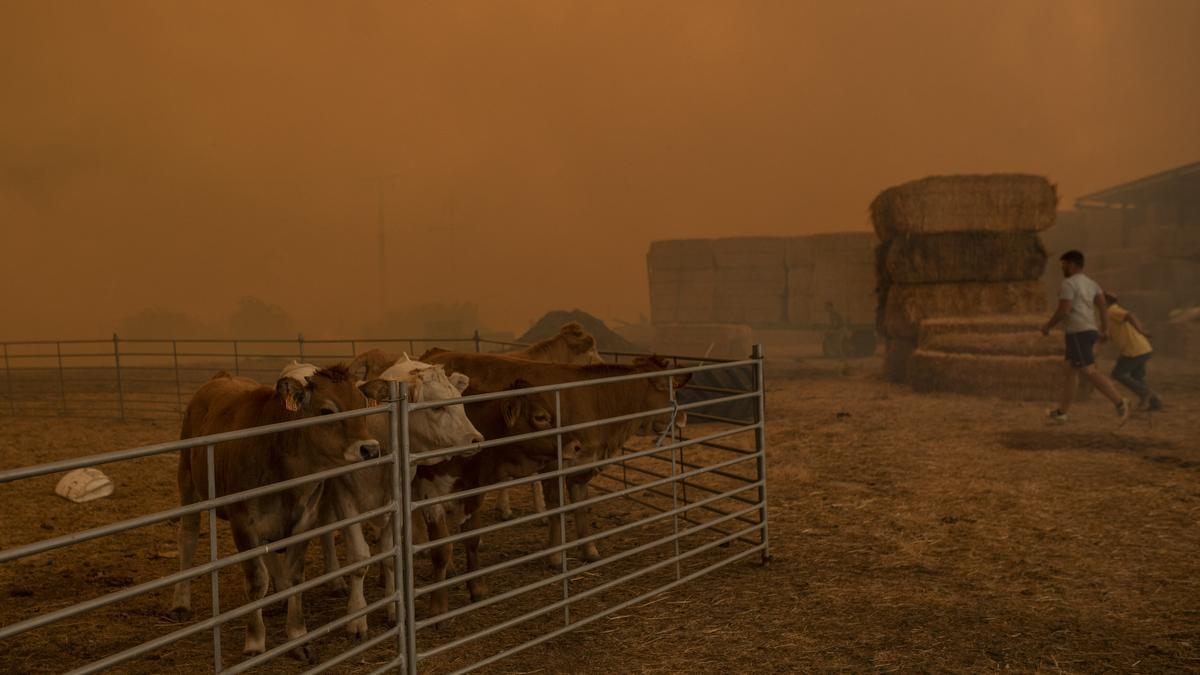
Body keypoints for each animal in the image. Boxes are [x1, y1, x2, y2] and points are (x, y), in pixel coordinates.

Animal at [174, 365, 386, 658]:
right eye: (326, 410)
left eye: (362, 405)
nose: (370, 448)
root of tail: (220, 378)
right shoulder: (244, 525)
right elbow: (256, 581)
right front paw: (254, 641)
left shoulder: (303, 521)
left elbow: (296, 576)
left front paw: (298, 636)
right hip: (188, 483)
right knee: (188, 539)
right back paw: (181, 602)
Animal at [417, 348, 691, 564]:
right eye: (666, 387)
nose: (684, 417)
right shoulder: (553, 464)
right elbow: (557, 509)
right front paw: (556, 557)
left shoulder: (582, 465)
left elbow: (581, 508)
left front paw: (590, 551)